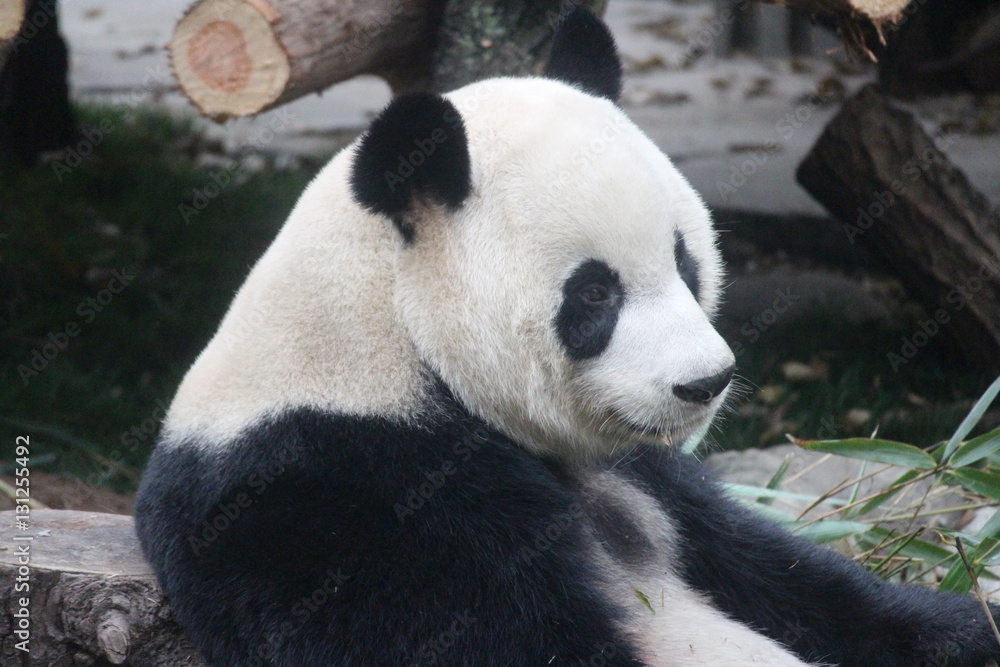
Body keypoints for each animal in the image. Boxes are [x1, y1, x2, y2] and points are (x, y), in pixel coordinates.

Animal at [135, 8, 1000, 667]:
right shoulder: (335, 491)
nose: (705, 382)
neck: (392, 341)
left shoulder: (654, 479)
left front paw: (962, 623)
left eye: (685, 260)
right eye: (594, 293)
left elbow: (791, 577)